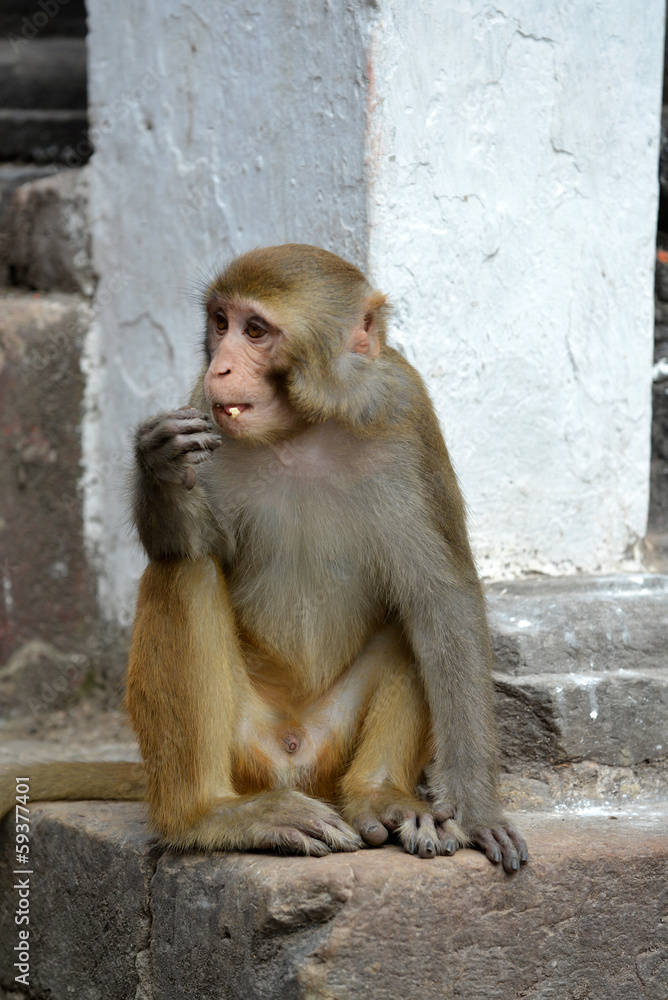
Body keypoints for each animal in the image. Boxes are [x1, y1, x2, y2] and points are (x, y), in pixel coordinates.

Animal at [1, 246, 528, 872]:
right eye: (220, 323)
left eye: (255, 331)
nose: (220, 368)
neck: (304, 429)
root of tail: (293, 757)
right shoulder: (200, 407)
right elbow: (189, 544)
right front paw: (157, 461)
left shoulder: (406, 409)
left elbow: (443, 598)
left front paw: (477, 809)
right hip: (243, 745)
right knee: (185, 573)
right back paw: (207, 816)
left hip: (331, 744)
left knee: (413, 615)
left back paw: (379, 796)